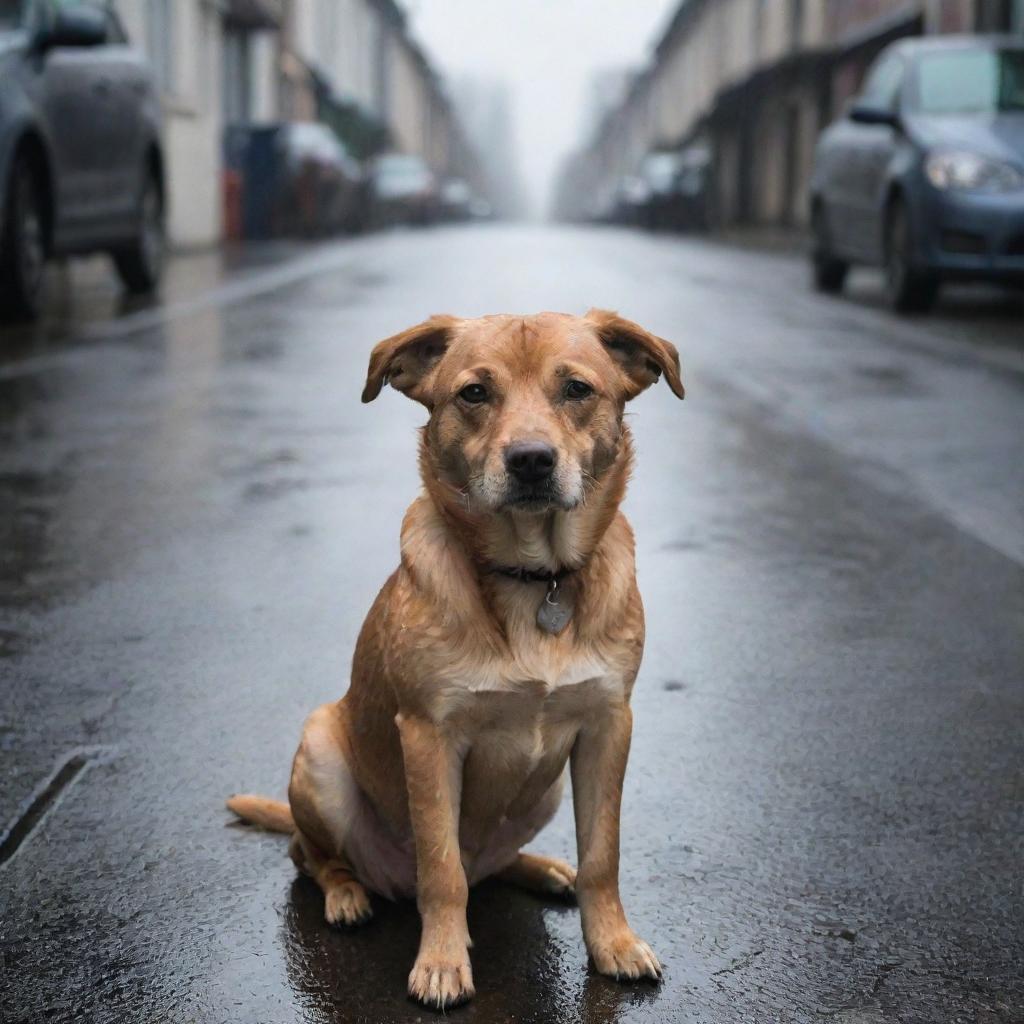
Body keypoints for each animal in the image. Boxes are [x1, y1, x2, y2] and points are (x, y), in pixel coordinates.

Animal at [228, 305, 684, 1007]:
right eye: (474, 393)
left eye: (577, 389)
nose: (531, 461)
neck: (534, 579)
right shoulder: (428, 735)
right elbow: (442, 869)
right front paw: (442, 962)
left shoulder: (610, 726)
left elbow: (602, 857)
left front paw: (614, 943)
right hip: (321, 753)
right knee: (316, 859)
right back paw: (347, 895)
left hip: (546, 790)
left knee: (490, 865)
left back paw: (545, 870)